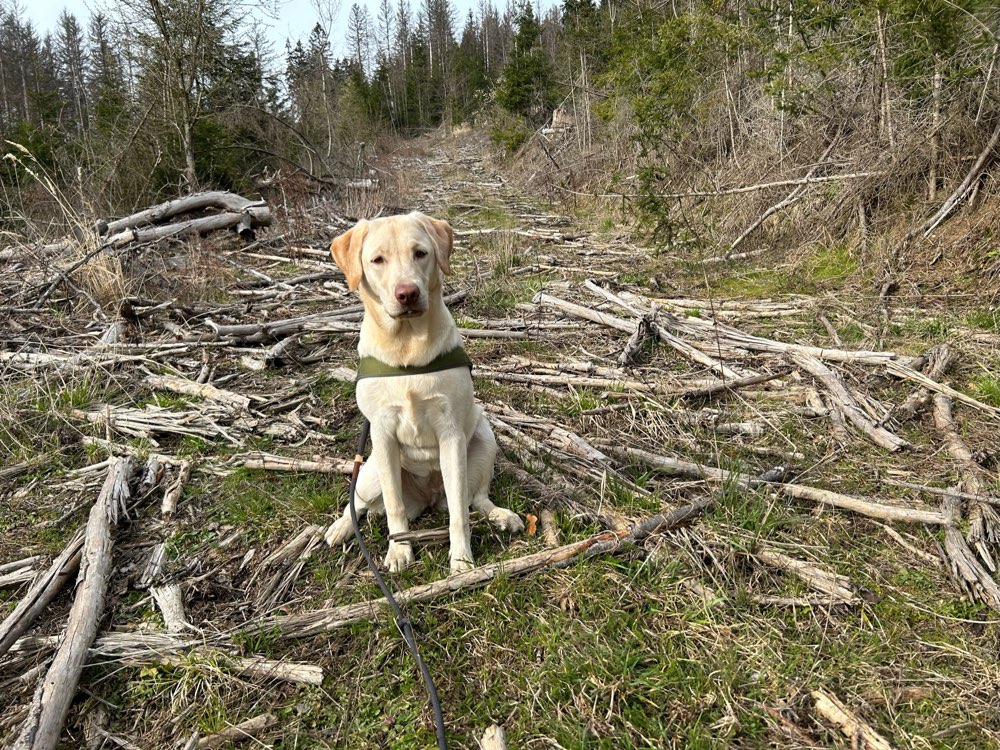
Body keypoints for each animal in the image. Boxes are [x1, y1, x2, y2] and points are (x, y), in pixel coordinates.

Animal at [326, 214, 528, 572]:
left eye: (420, 253)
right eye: (377, 260)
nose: (407, 293)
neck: (407, 346)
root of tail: (428, 498)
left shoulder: (451, 435)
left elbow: (460, 511)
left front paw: (461, 560)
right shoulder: (383, 436)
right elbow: (393, 507)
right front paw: (399, 551)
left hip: (484, 441)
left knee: (476, 498)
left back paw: (500, 516)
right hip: (372, 469)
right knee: (359, 503)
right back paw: (341, 527)